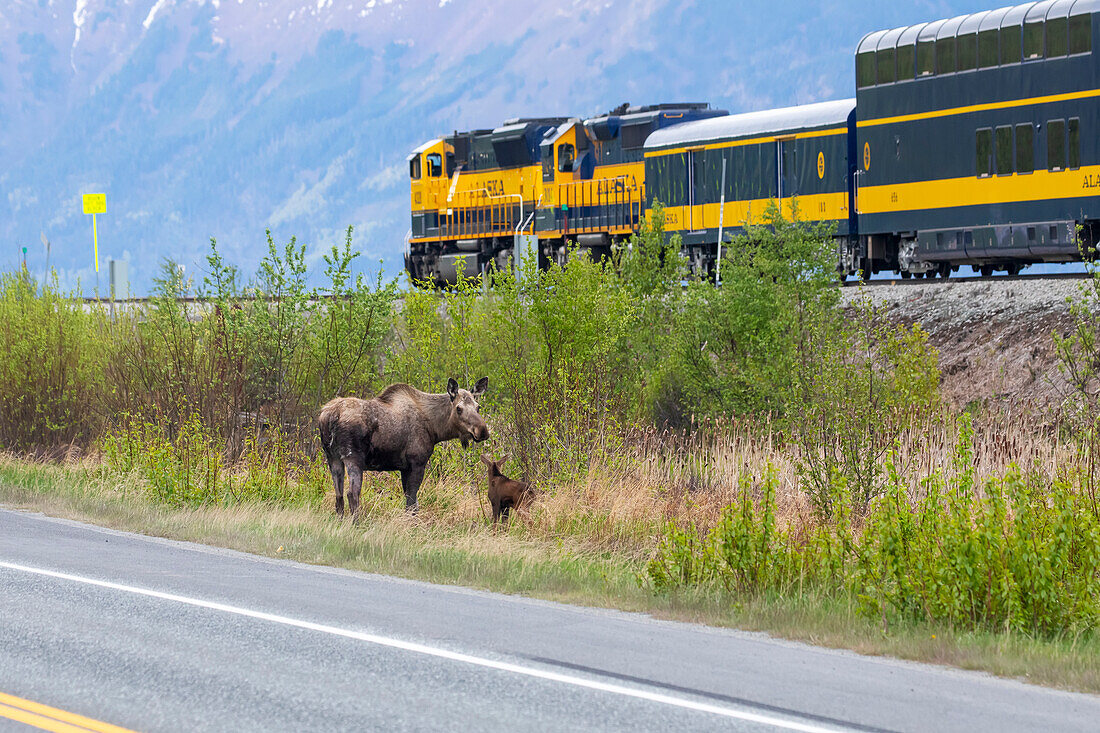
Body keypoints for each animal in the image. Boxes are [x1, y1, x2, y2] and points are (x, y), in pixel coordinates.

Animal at [319, 376, 490, 512]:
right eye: (459, 408)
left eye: (478, 407)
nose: (482, 431)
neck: (435, 429)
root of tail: (330, 416)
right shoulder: (417, 463)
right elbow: (412, 504)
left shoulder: (404, 468)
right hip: (353, 458)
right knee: (352, 494)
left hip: (333, 458)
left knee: (338, 495)